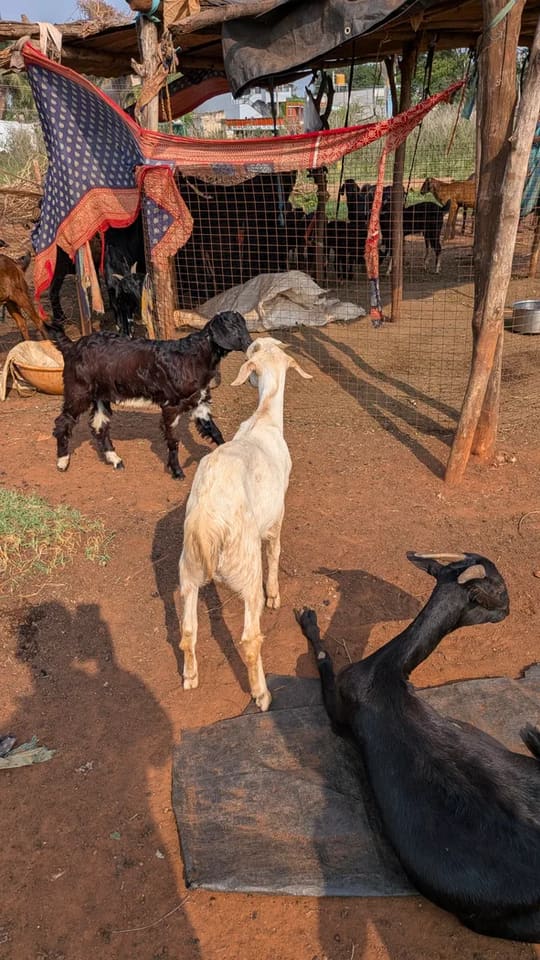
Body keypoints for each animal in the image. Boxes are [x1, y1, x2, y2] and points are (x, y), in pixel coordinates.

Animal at [45, 311, 252, 478]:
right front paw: (177, 472)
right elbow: (173, 441)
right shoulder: (171, 405)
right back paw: (62, 462)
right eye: (233, 327)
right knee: (63, 422)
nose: (250, 344)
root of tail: (71, 347)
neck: (194, 357)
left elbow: (215, 431)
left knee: (99, 426)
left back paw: (115, 460)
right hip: (78, 391)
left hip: (100, 396)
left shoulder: (199, 401)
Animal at [179, 337, 312, 711]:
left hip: (188, 571)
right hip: (245, 567)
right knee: (251, 639)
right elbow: (276, 552)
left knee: (187, 632)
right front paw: (275, 595)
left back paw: (190, 677)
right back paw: (262, 694)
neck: (263, 419)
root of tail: (207, 524)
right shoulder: (277, 515)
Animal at [296, 552, 540, 943]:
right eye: (499, 589)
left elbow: (323, 660)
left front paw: (307, 619)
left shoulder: (338, 709)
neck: (384, 676)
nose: (509, 609)